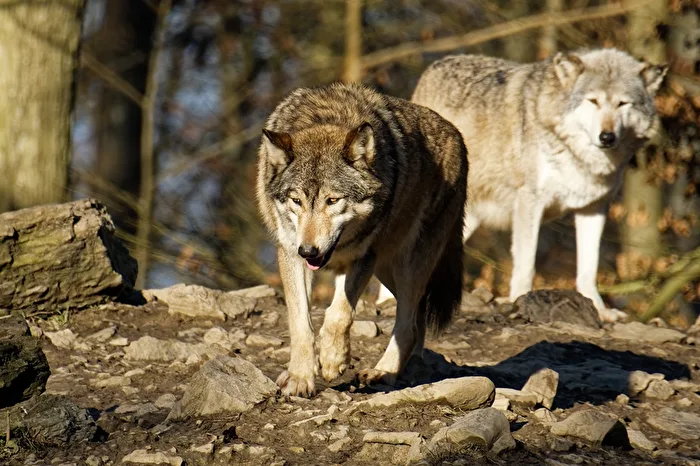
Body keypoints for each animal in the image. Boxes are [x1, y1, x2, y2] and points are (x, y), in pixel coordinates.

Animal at [256, 83, 468, 397]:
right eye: (297, 201)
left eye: (332, 200)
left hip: (408, 263)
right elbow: (300, 322)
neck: (326, 118)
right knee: (416, 319)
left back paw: (383, 372)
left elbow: (339, 314)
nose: (309, 251)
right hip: (386, 269)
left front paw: (333, 360)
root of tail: (457, 134)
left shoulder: (363, 257)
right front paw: (299, 377)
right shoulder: (290, 253)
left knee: (407, 324)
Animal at [376, 48, 667, 322]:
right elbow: (526, 262)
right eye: (593, 101)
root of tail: (437, 65)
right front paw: (521, 299)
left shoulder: (594, 208)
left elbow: (589, 268)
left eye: (622, 103)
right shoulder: (530, 200)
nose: (607, 137)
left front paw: (600, 310)